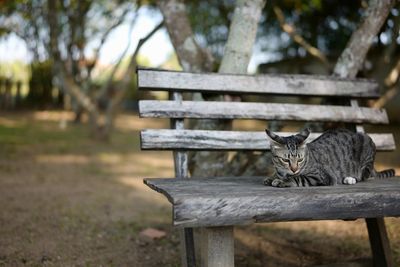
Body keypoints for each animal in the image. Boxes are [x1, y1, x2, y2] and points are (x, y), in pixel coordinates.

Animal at [262, 128, 394, 188]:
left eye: (300, 160)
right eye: (285, 160)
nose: (294, 169)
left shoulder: (321, 176)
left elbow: (298, 178)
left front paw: (282, 181)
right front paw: (273, 177)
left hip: (367, 145)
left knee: (363, 176)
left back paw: (350, 179)